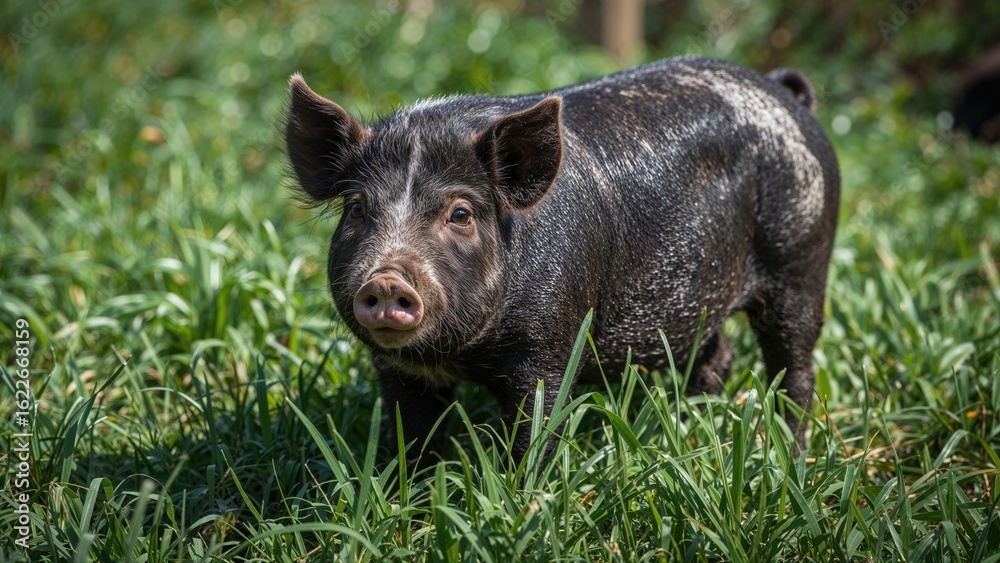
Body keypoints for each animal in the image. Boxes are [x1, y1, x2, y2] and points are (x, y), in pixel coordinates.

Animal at [285, 56, 840, 464]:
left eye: (460, 213)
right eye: (357, 208)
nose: (386, 281)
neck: (463, 355)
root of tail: (785, 92)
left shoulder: (549, 345)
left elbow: (535, 432)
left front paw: (518, 495)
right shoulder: (399, 370)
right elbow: (414, 438)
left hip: (802, 259)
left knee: (795, 366)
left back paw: (787, 455)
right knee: (717, 353)